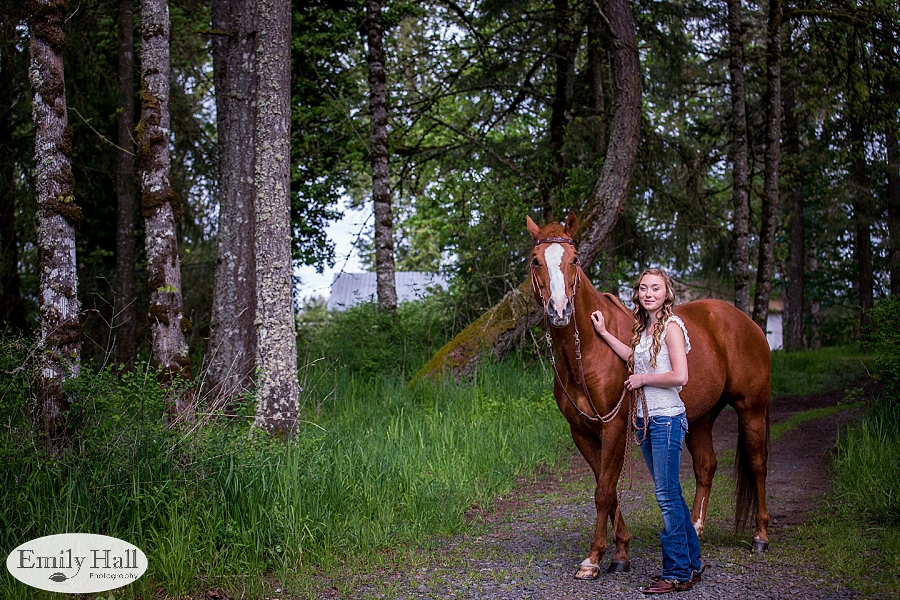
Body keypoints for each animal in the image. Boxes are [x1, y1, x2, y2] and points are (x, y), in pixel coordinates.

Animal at [528, 213, 772, 580]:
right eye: (535, 261)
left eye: (575, 260)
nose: (560, 309)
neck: (589, 352)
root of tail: (745, 322)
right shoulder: (582, 432)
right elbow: (607, 488)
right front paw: (621, 551)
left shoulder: (613, 427)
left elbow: (604, 492)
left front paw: (594, 559)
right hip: (701, 417)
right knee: (706, 466)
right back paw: (695, 529)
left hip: (752, 409)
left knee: (757, 465)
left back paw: (760, 535)